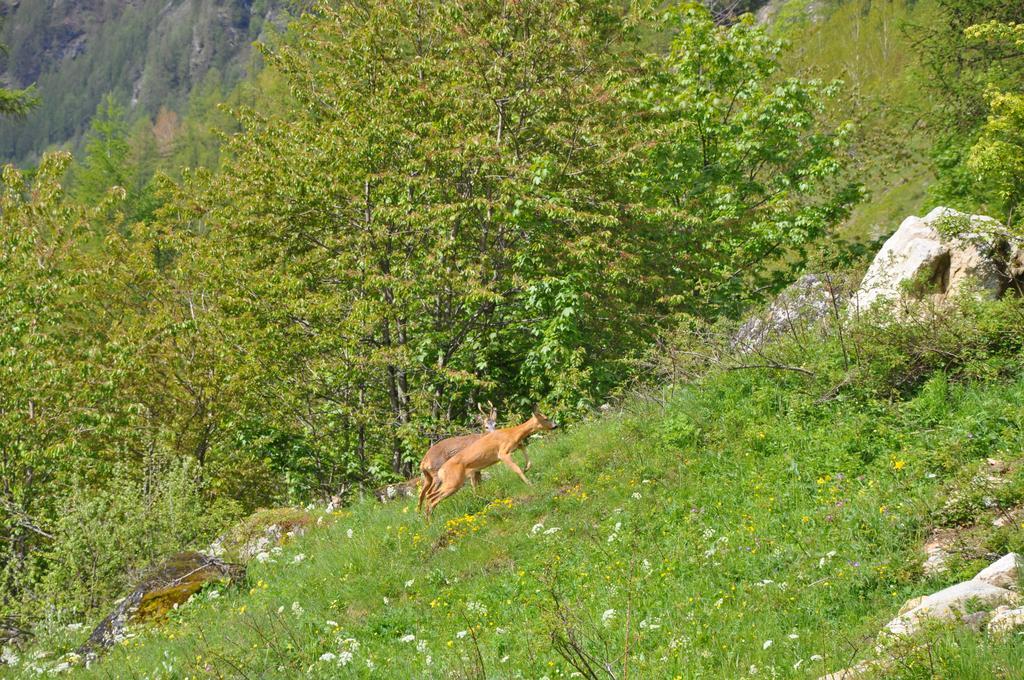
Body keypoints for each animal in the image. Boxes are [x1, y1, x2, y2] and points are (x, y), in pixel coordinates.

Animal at [423, 409, 561, 516]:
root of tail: (441, 471)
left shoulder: (515, 446)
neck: (513, 433)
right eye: (546, 418)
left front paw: (526, 468)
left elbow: (526, 454)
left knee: (430, 497)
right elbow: (516, 469)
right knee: (432, 497)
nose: (555, 426)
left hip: (451, 482)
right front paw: (530, 484)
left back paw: (429, 520)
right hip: (453, 482)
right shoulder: (502, 453)